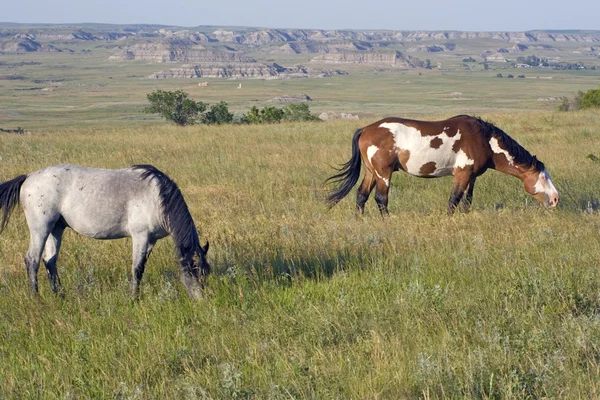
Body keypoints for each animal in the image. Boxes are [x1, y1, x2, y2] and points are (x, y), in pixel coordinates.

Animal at [0, 164, 211, 298]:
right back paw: (36, 298)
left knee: (50, 261)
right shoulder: (140, 237)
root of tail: (28, 177)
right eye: (194, 272)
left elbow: (141, 268)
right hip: (40, 228)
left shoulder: (151, 240)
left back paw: (59, 295)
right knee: (32, 260)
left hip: (56, 229)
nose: (201, 300)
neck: (156, 197)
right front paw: (134, 298)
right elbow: (137, 268)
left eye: (205, 273)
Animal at [326, 115, 560, 216]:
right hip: (383, 173)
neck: (483, 139)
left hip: (371, 172)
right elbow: (453, 200)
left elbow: (466, 201)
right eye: (543, 177)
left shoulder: (472, 176)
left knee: (361, 195)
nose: (555, 199)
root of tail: (365, 129)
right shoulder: (461, 174)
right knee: (381, 199)